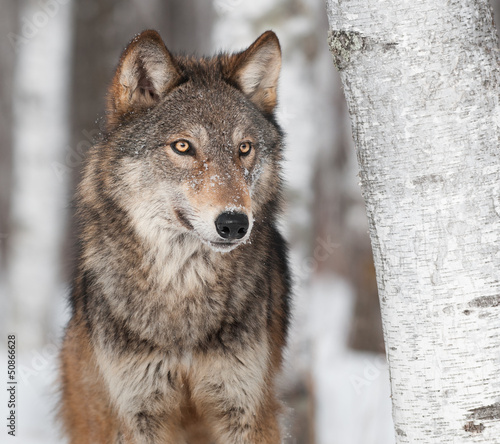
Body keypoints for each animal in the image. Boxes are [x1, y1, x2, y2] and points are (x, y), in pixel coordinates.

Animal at [59, 29, 292, 442]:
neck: (182, 289)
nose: (234, 223)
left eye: (244, 149)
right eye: (183, 146)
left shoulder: (247, 408)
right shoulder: (137, 414)